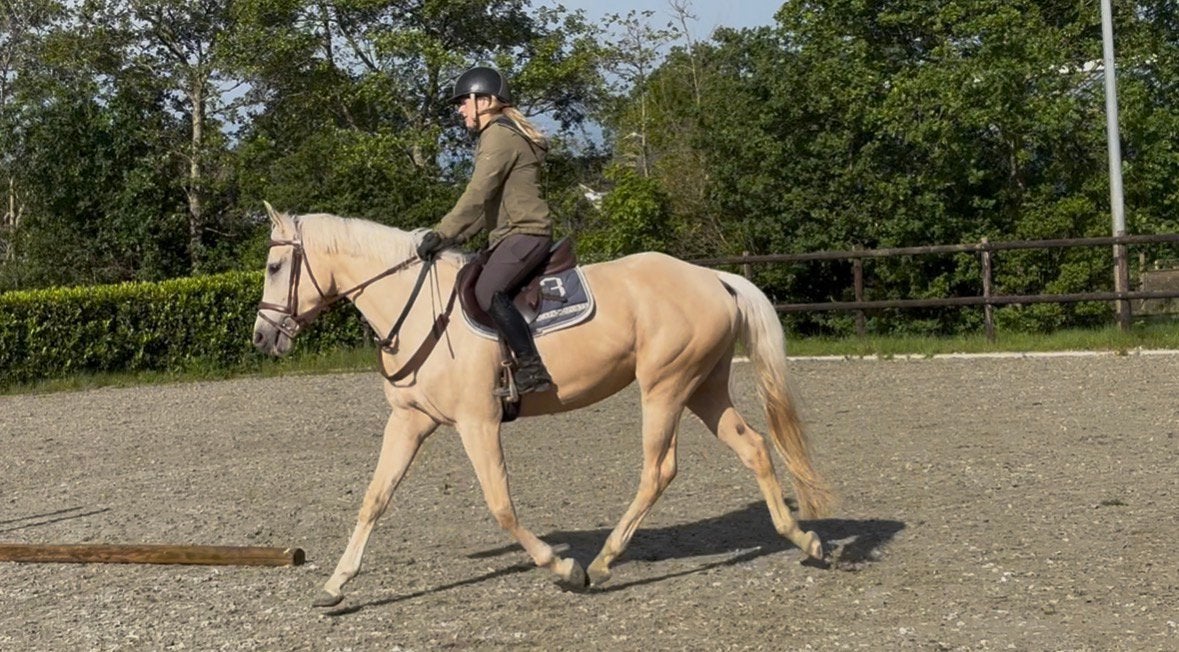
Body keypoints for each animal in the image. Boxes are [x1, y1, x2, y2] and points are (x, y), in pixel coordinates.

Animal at [252, 204, 834, 607]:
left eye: (276, 265)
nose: (262, 337)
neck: (417, 310)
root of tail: (714, 277)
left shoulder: (478, 422)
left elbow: (501, 506)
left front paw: (561, 566)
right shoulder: (410, 421)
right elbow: (375, 499)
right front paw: (335, 585)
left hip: (665, 387)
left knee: (658, 469)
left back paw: (602, 563)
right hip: (702, 387)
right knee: (753, 447)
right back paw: (803, 540)